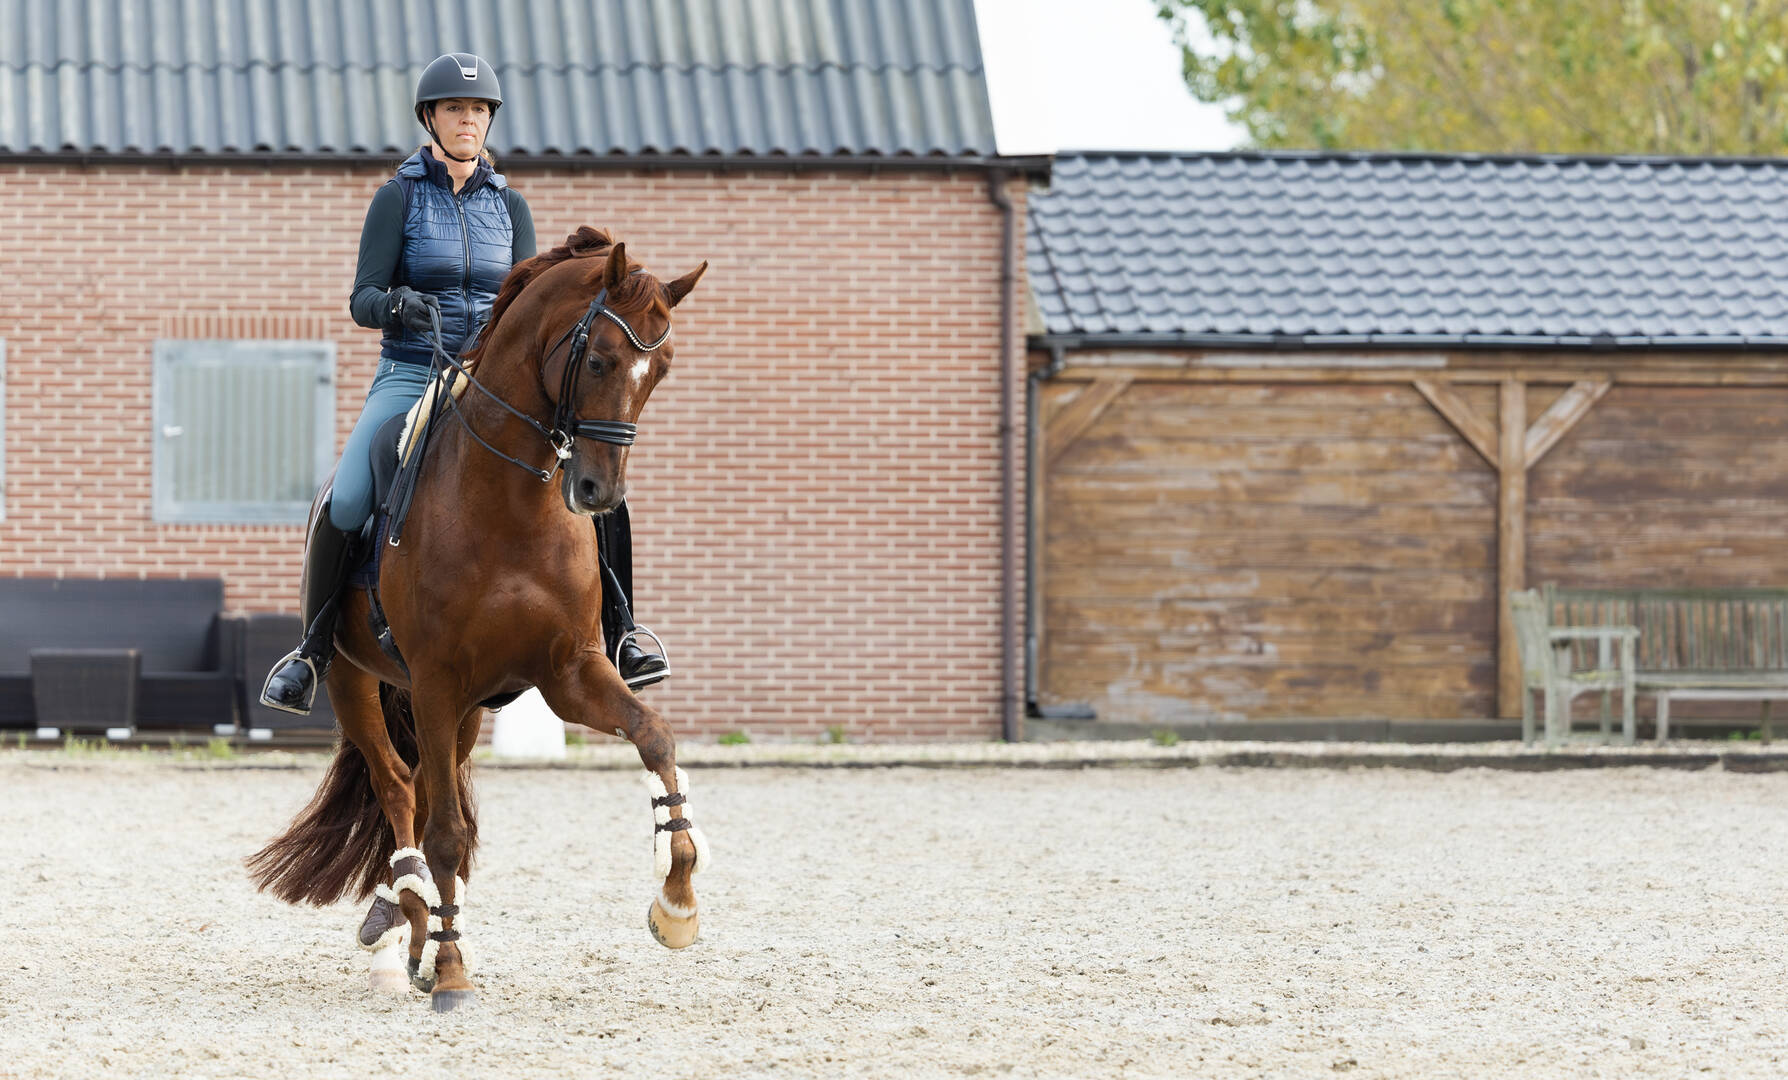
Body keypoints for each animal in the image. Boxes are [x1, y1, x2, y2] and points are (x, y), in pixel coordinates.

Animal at [247, 227, 710, 1012]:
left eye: (663, 370)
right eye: (597, 358)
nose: (598, 492)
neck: (511, 499)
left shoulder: (568, 671)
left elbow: (654, 736)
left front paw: (676, 900)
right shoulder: (436, 680)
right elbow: (445, 838)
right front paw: (454, 969)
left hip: (464, 711)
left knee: (430, 787)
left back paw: (412, 932)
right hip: (355, 681)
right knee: (401, 789)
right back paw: (408, 918)